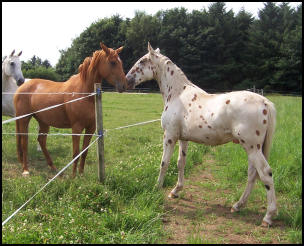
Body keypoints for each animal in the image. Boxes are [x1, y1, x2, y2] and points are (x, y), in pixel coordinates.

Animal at [13, 42, 126, 177]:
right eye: (113, 62)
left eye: (120, 62)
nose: (124, 85)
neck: (83, 93)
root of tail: (22, 86)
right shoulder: (76, 128)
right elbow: (76, 153)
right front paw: (73, 176)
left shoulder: (91, 128)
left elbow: (84, 152)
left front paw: (81, 174)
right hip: (24, 119)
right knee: (24, 142)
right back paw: (26, 170)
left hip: (43, 122)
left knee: (41, 141)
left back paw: (53, 168)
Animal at [126, 42, 278, 227]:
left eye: (142, 61)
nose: (127, 79)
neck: (177, 94)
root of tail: (265, 102)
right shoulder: (183, 139)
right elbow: (180, 163)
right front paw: (175, 191)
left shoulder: (169, 137)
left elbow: (164, 163)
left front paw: (157, 188)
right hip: (252, 148)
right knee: (252, 174)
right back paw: (237, 206)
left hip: (252, 147)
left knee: (265, 173)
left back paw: (268, 217)